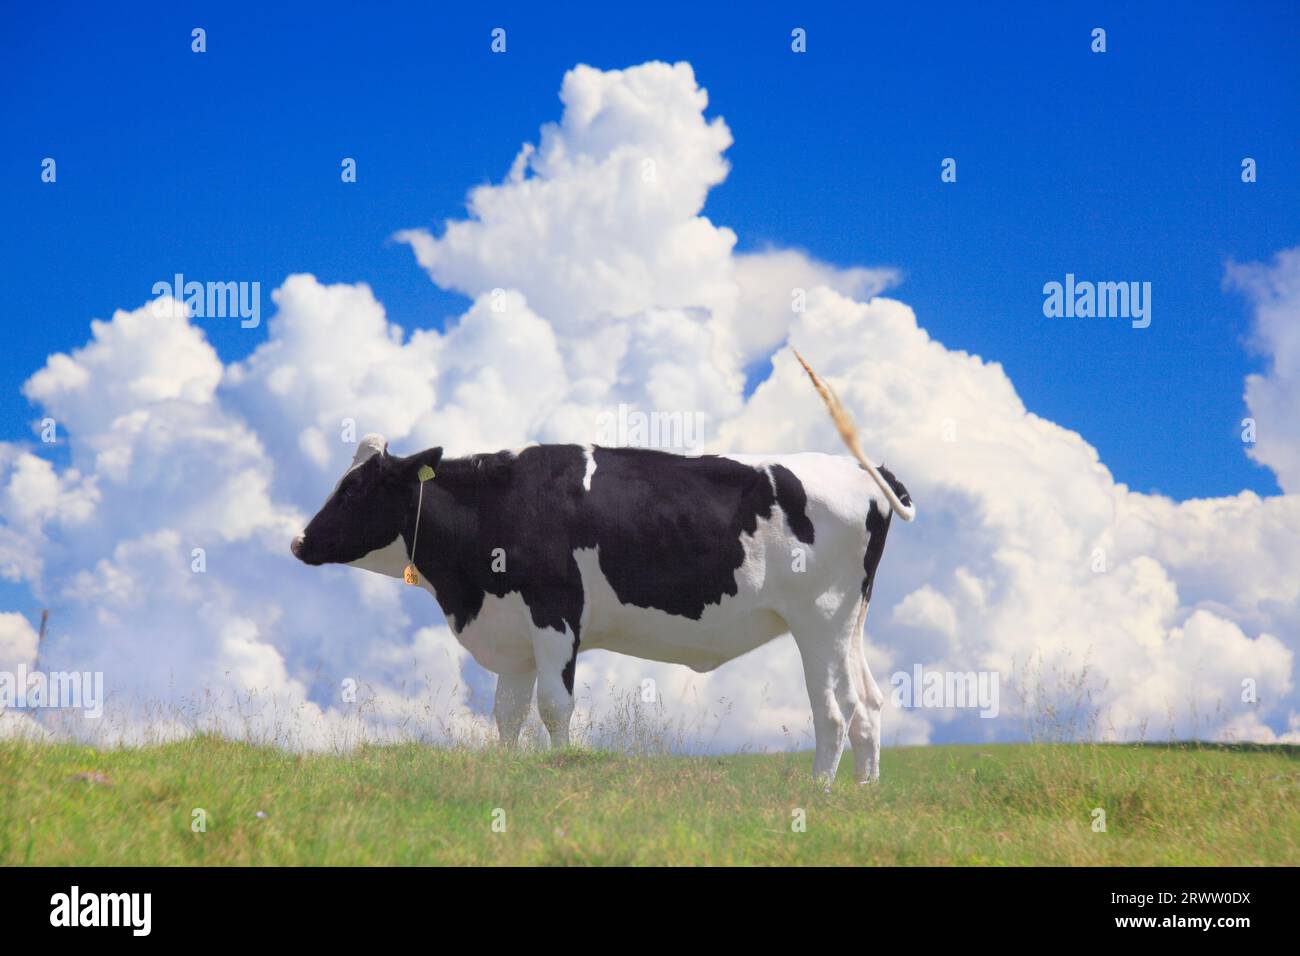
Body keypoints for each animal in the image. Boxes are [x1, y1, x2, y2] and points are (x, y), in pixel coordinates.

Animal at [288, 351, 909, 785]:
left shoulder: (555, 613)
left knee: (835, 711)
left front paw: (559, 770)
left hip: (819, 620)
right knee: (869, 705)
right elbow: (507, 714)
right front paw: (508, 773)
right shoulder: (513, 633)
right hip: (849, 622)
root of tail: (863, 469)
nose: (297, 542)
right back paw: (863, 793)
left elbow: (553, 706)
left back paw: (819, 793)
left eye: (356, 488)